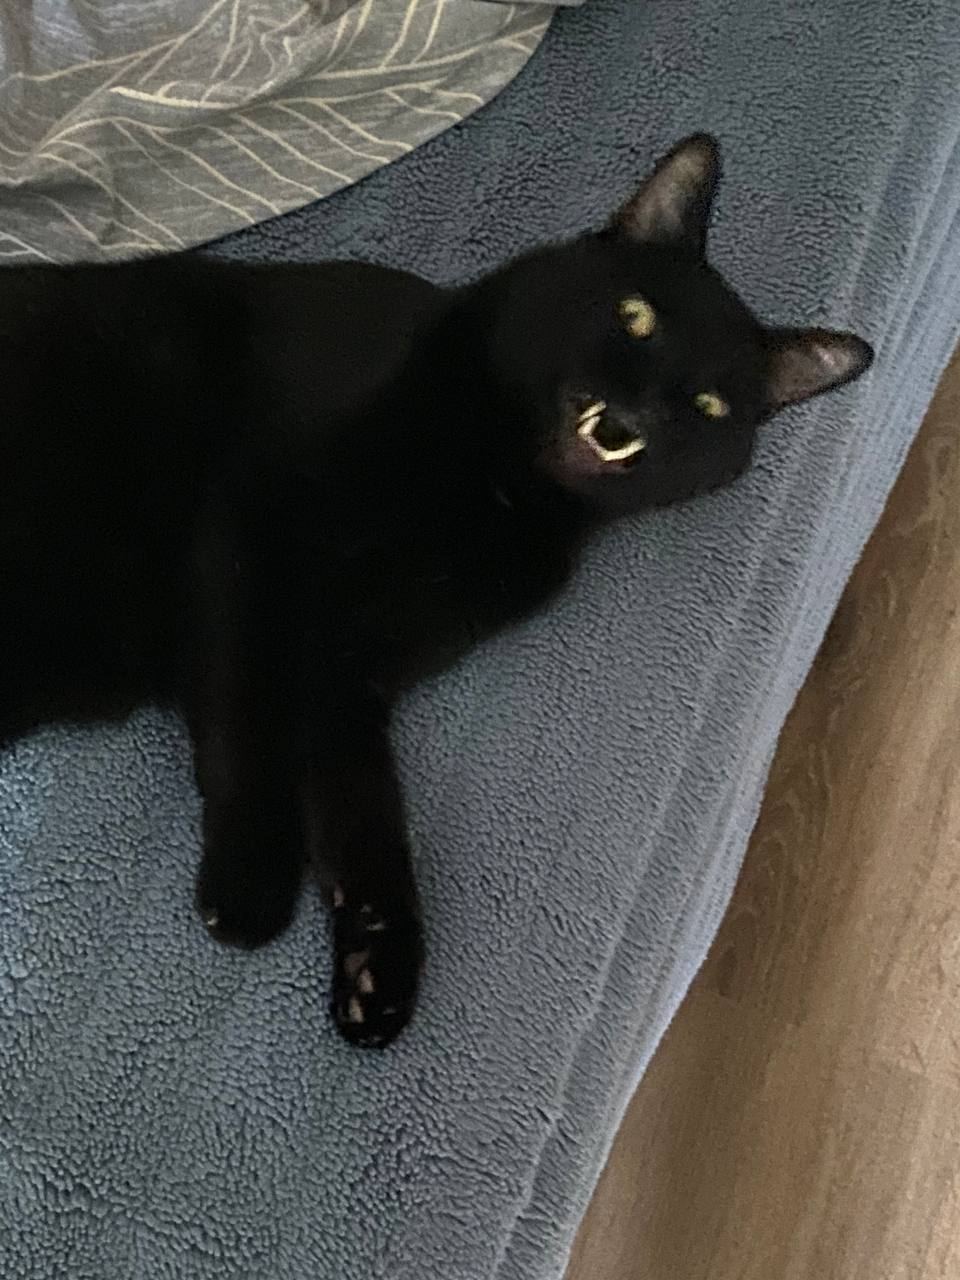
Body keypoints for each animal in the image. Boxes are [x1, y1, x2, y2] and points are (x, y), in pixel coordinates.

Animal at [0, 135, 872, 1048]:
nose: (624, 424)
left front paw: (379, 970)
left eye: (708, 406)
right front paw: (250, 886)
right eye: (636, 316)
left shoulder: (349, 669)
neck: (497, 482)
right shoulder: (251, 537)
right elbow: (250, 717)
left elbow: (367, 809)